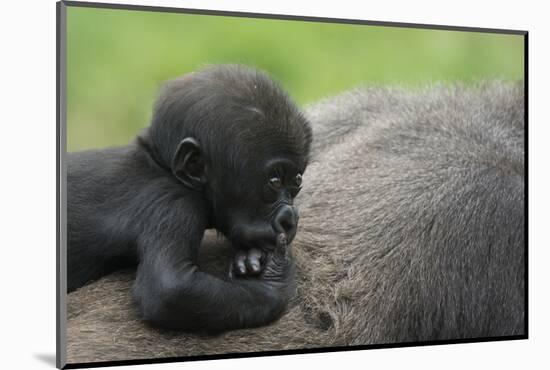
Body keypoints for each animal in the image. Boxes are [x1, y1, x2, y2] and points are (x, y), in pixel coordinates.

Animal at [67, 64, 312, 332]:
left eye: (297, 181)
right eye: (274, 181)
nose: (289, 219)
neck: (161, 165)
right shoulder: (175, 204)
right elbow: (169, 288)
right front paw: (271, 285)